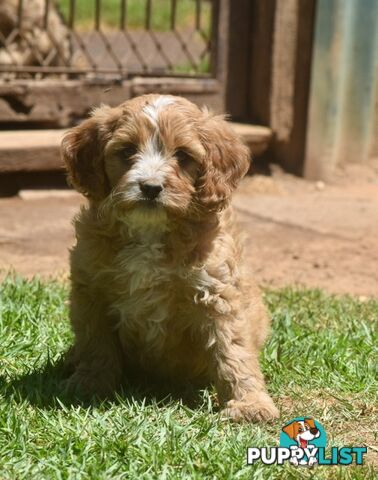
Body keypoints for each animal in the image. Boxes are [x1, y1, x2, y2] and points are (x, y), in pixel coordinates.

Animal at [62, 94, 280, 424]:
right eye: (127, 151)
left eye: (183, 155)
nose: (150, 188)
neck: (150, 229)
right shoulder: (90, 290)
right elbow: (95, 343)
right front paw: (90, 383)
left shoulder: (217, 293)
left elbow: (233, 348)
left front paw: (249, 404)